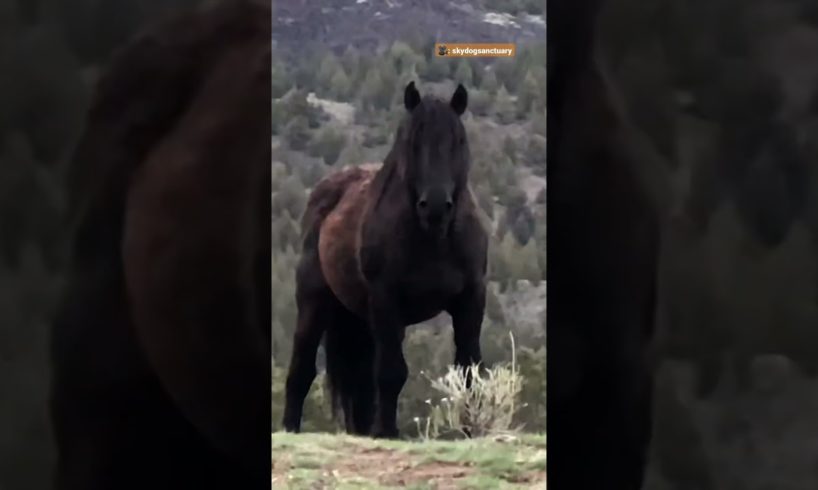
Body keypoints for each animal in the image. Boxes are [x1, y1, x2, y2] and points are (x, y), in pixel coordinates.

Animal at [282, 82, 484, 438]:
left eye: (458, 141)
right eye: (412, 143)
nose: (434, 206)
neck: (433, 238)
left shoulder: (471, 300)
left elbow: (468, 371)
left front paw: (470, 432)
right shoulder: (387, 300)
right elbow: (392, 371)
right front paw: (387, 431)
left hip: (359, 319)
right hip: (314, 303)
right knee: (302, 369)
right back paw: (290, 428)